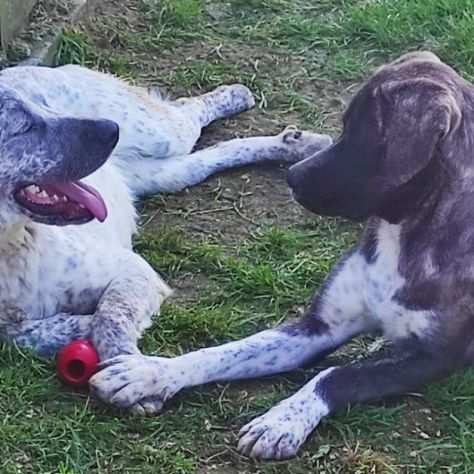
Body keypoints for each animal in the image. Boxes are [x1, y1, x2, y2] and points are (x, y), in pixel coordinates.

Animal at [0, 65, 330, 412]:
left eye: (43, 107)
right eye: (23, 126)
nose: (110, 129)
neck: (9, 249)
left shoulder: (132, 269)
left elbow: (109, 316)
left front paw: (133, 373)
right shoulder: (14, 331)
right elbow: (33, 333)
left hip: (159, 133)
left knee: (187, 111)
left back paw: (246, 101)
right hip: (165, 174)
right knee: (212, 155)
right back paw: (294, 144)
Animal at [93, 51, 474, 460]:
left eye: (365, 136)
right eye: (344, 125)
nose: (292, 176)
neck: (403, 232)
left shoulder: (428, 358)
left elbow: (336, 374)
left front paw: (282, 421)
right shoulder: (317, 327)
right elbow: (224, 352)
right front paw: (149, 373)